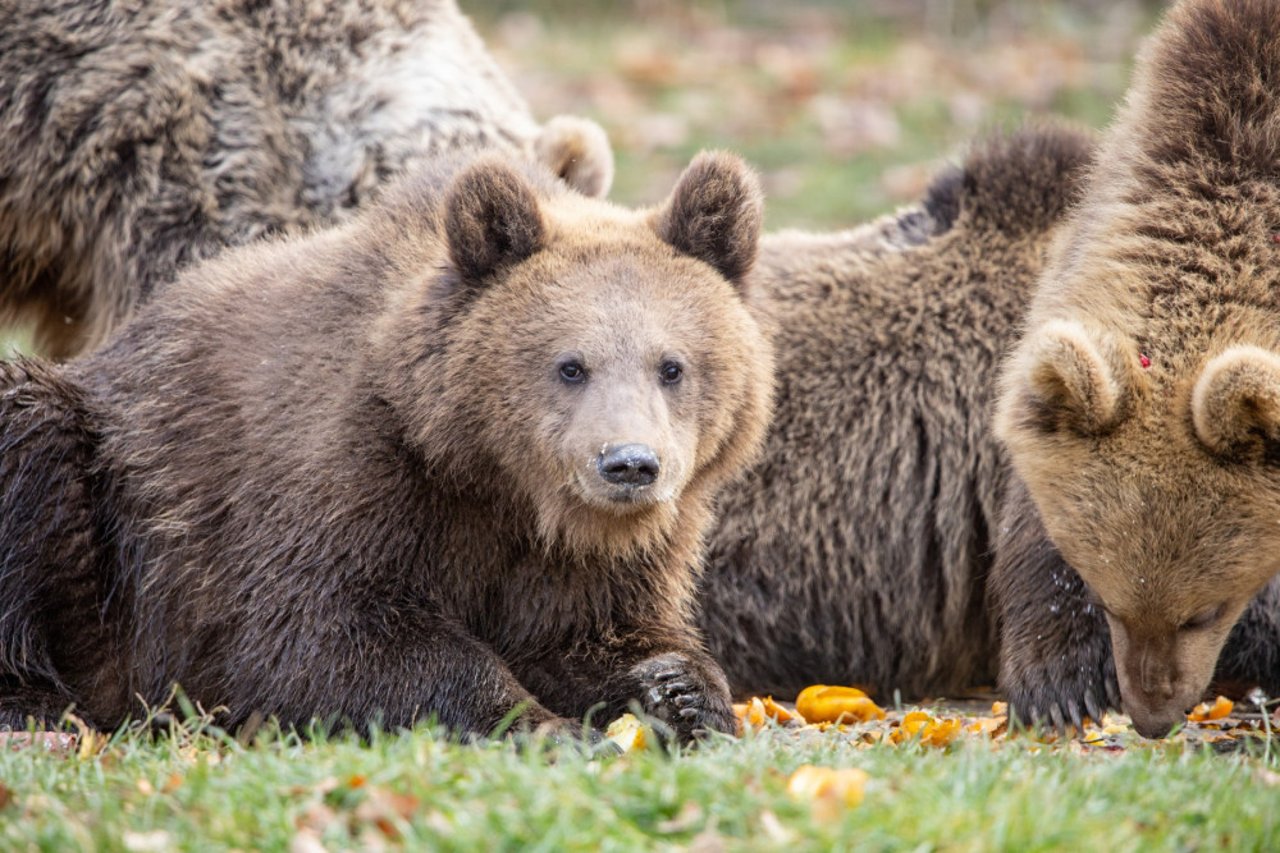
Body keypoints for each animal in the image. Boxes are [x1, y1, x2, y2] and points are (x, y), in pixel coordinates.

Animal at [0, 149, 768, 742]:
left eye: (672, 365)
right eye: (570, 365)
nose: (629, 465)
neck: (490, 475)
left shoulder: (591, 555)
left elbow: (594, 631)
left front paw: (681, 690)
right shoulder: (346, 479)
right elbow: (325, 635)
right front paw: (539, 723)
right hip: (102, 493)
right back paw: (37, 705)